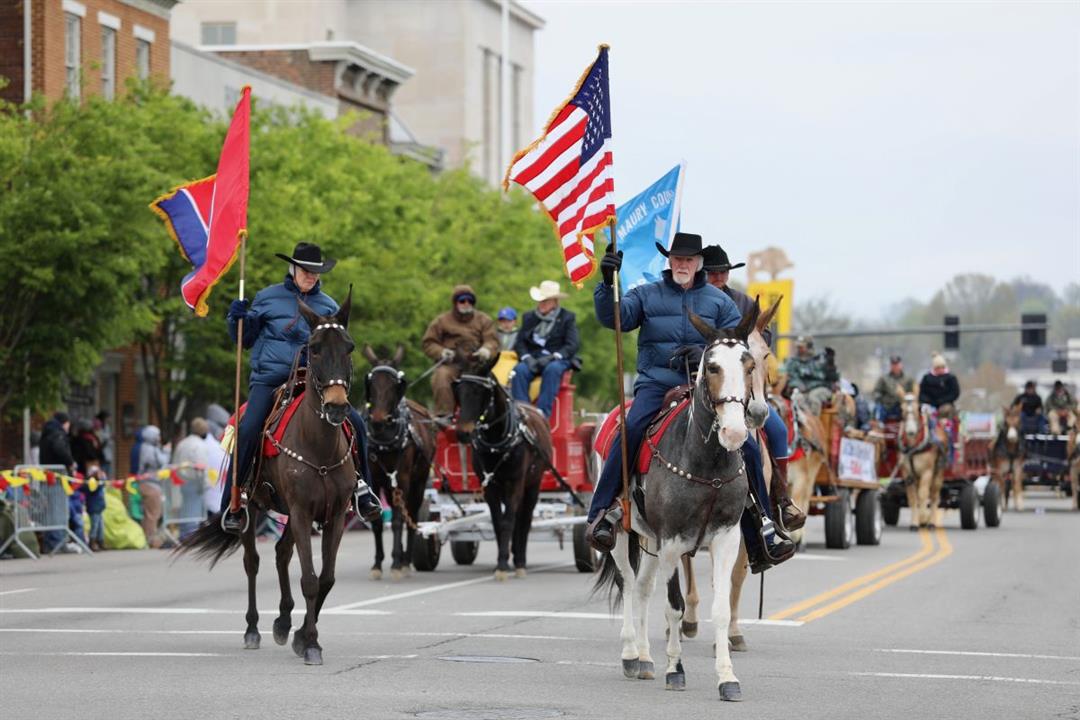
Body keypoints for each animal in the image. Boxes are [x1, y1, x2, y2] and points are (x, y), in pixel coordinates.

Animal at [177, 289, 358, 669]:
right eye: (314, 347)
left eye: (349, 347)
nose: (337, 407)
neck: (318, 445)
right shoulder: (302, 512)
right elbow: (309, 579)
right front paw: (311, 643)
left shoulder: (333, 515)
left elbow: (326, 579)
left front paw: (302, 635)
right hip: (254, 508)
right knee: (254, 562)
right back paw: (253, 629)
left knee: (281, 553)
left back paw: (284, 621)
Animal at [365, 343, 436, 578]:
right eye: (371, 384)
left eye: (395, 385)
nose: (378, 420)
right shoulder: (376, 479)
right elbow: (378, 522)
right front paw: (377, 564)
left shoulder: (403, 478)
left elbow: (397, 521)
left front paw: (397, 562)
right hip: (390, 485)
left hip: (419, 481)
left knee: (411, 514)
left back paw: (405, 559)